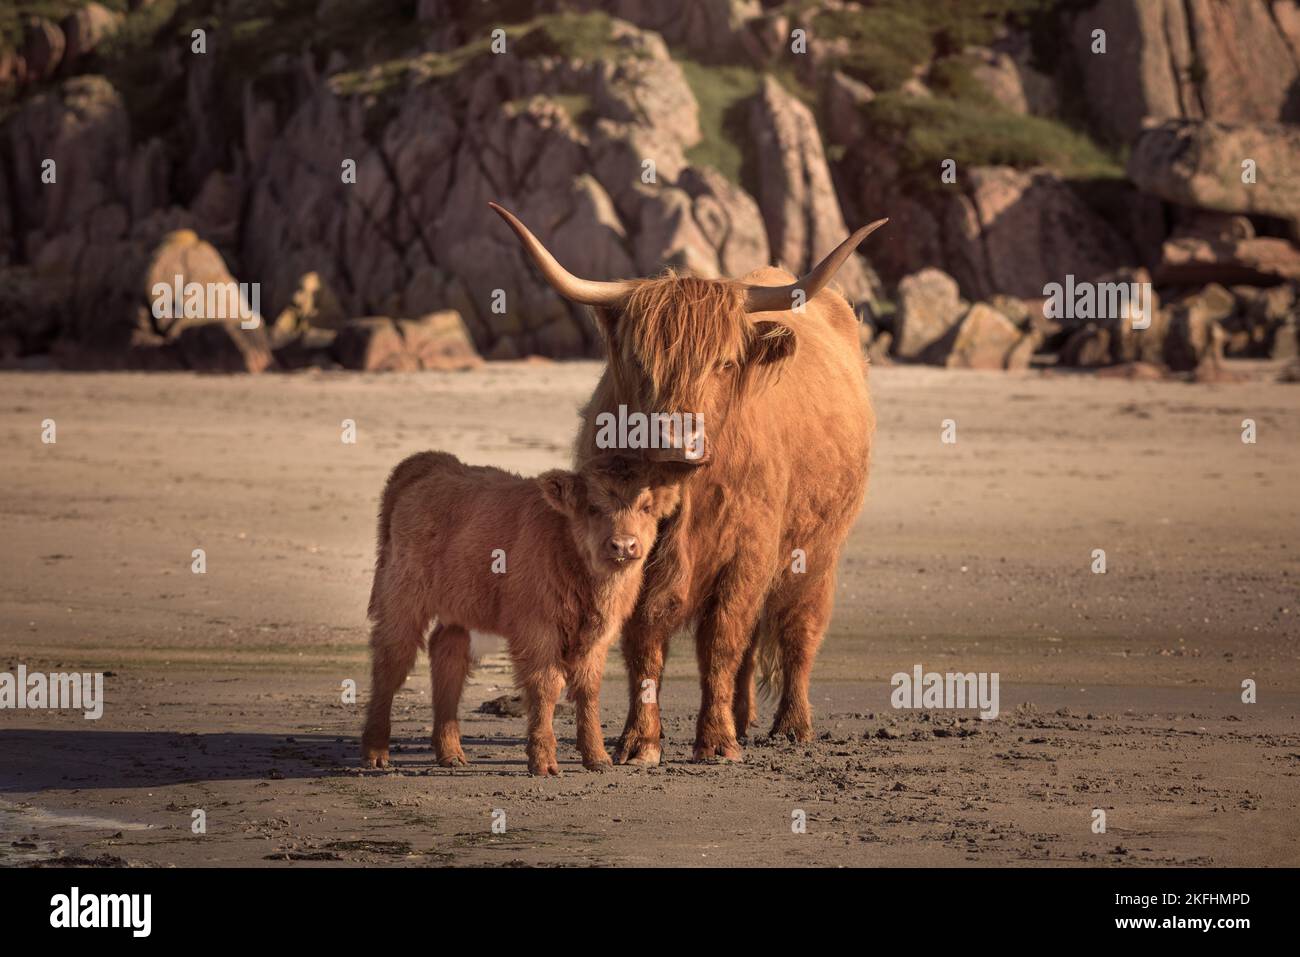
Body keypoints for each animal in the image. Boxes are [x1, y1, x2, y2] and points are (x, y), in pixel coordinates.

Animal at [356, 452, 681, 774]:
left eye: (646, 507)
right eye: (593, 507)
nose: (623, 545)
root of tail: (428, 462)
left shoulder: (600, 634)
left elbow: (588, 688)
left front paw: (597, 757)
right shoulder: (537, 629)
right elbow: (546, 686)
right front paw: (544, 761)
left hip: (456, 607)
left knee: (448, 657)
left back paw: (450, 753)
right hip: (401, 598)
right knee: (392, 661)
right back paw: (376, 752)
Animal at [488, 200, 883, 764]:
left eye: (724, 363)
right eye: (640, 360)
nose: (675, 438)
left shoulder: (749, 550)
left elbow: (721, 640)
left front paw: (715, 742)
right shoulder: (628, 546)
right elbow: (645, 643)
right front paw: (639, 741)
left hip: (817, 549)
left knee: (797, 628)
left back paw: (790, 726)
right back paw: (744, 717)